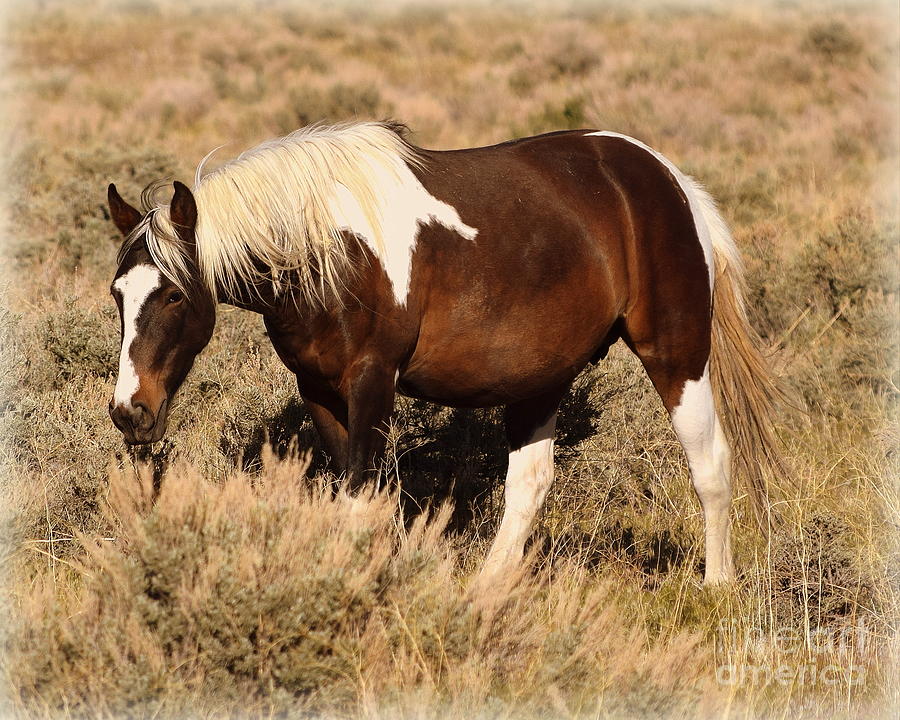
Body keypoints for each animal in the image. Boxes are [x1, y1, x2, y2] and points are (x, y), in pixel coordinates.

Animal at [103, 119, 780, 584]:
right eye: (117, 294)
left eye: (173, 295)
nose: (131, 412)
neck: (327, 247)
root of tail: (668, 179)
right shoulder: (318, 388)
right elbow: (353, 493)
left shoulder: (372, 380)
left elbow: (361, 495)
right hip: (542, 377)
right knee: (529, 483)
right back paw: (487, 591)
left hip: (677, 356)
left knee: (710, 466)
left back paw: (717, 587)